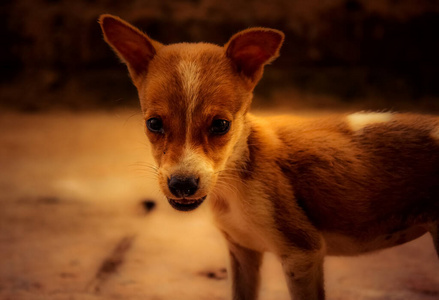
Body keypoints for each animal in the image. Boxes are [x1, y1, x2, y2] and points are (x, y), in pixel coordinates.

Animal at [100, 14, 439, 300]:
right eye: (153, 124)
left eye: (220, 125)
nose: (182, 185)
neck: (236, 179)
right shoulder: (242, 252)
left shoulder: (302, 252)